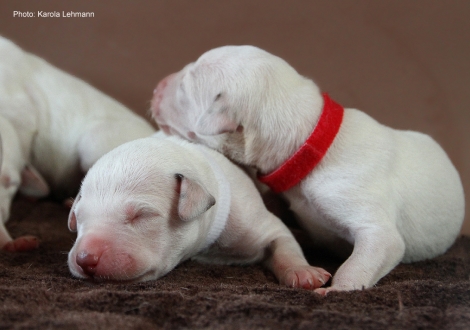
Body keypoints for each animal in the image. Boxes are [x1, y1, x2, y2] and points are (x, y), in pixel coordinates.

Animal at [67, 133, 330, 288]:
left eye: (142, 215)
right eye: (79, 218)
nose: (85, 258)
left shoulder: (253, 221)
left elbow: (284, 242)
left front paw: (303, 273)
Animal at [149, 45, 464, 296]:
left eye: (184, 88)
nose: (156, 86)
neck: (308, 139)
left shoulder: (373, 222)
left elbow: (365, 255)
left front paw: (337, 289)